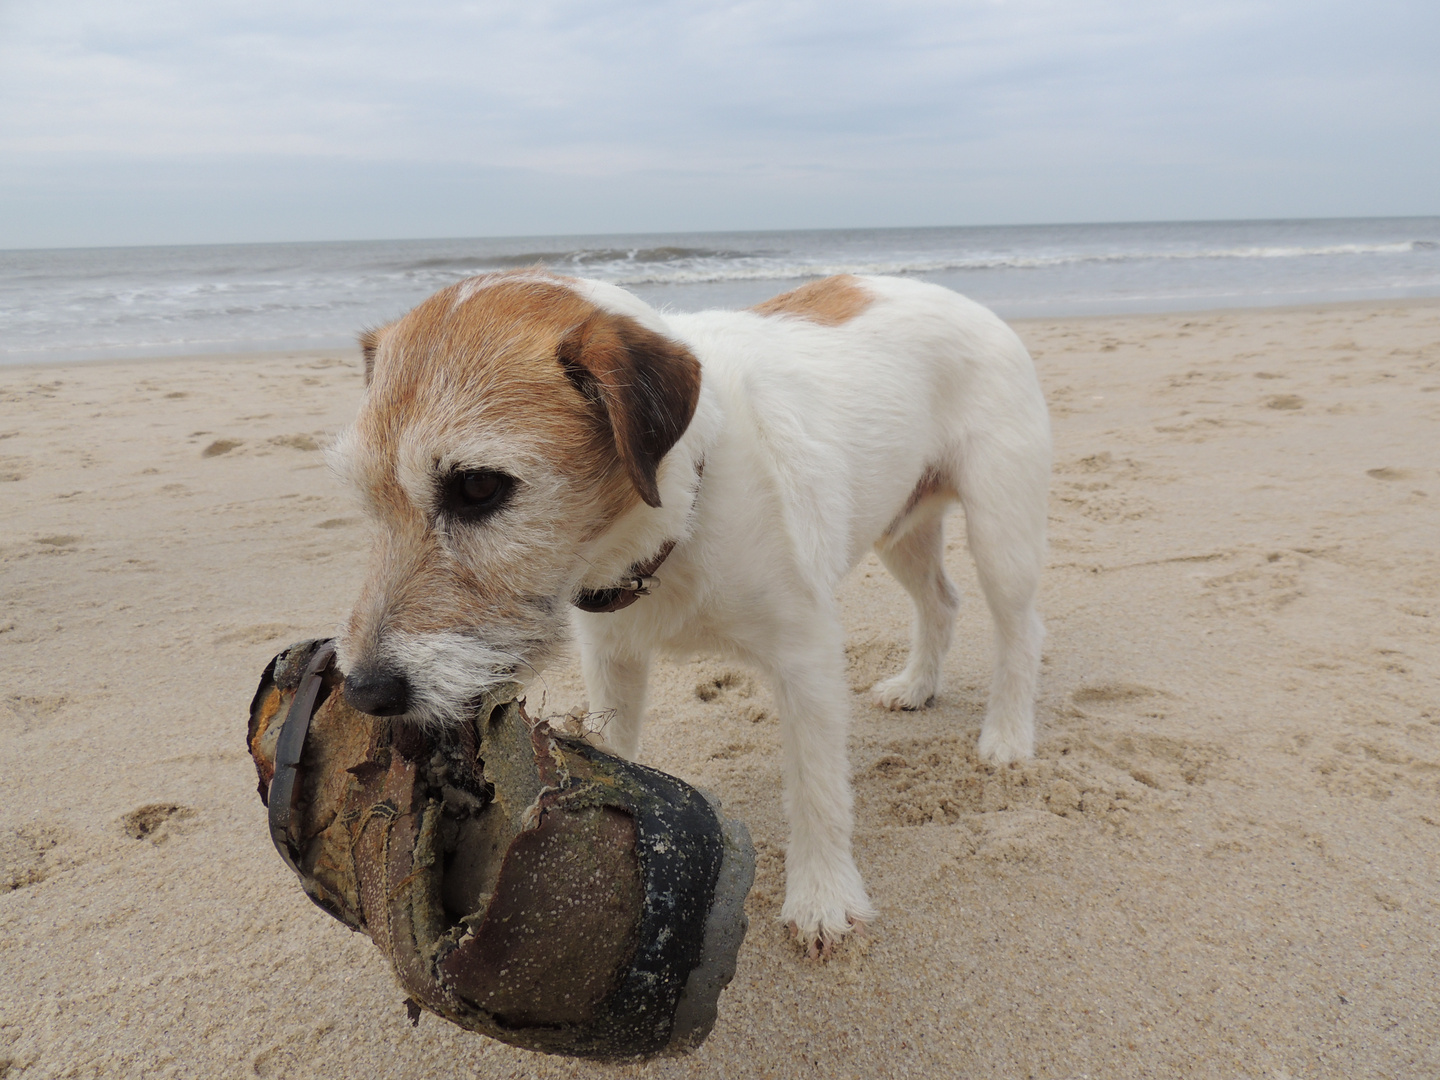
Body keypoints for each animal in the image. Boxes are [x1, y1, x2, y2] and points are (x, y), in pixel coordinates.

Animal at [331, 270, 1054, 956]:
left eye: (478, 486)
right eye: (366, 496)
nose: (366, 691)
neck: (675, 514)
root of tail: (959, 298)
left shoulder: (807, 659)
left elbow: (817, 789)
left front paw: (823, 898)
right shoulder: (612, 657)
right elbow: (614, 748)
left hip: (1001, 530)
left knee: (1018, 629)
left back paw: (1007, 737)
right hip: (902, 528)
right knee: (941, 599)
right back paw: (917, 685)